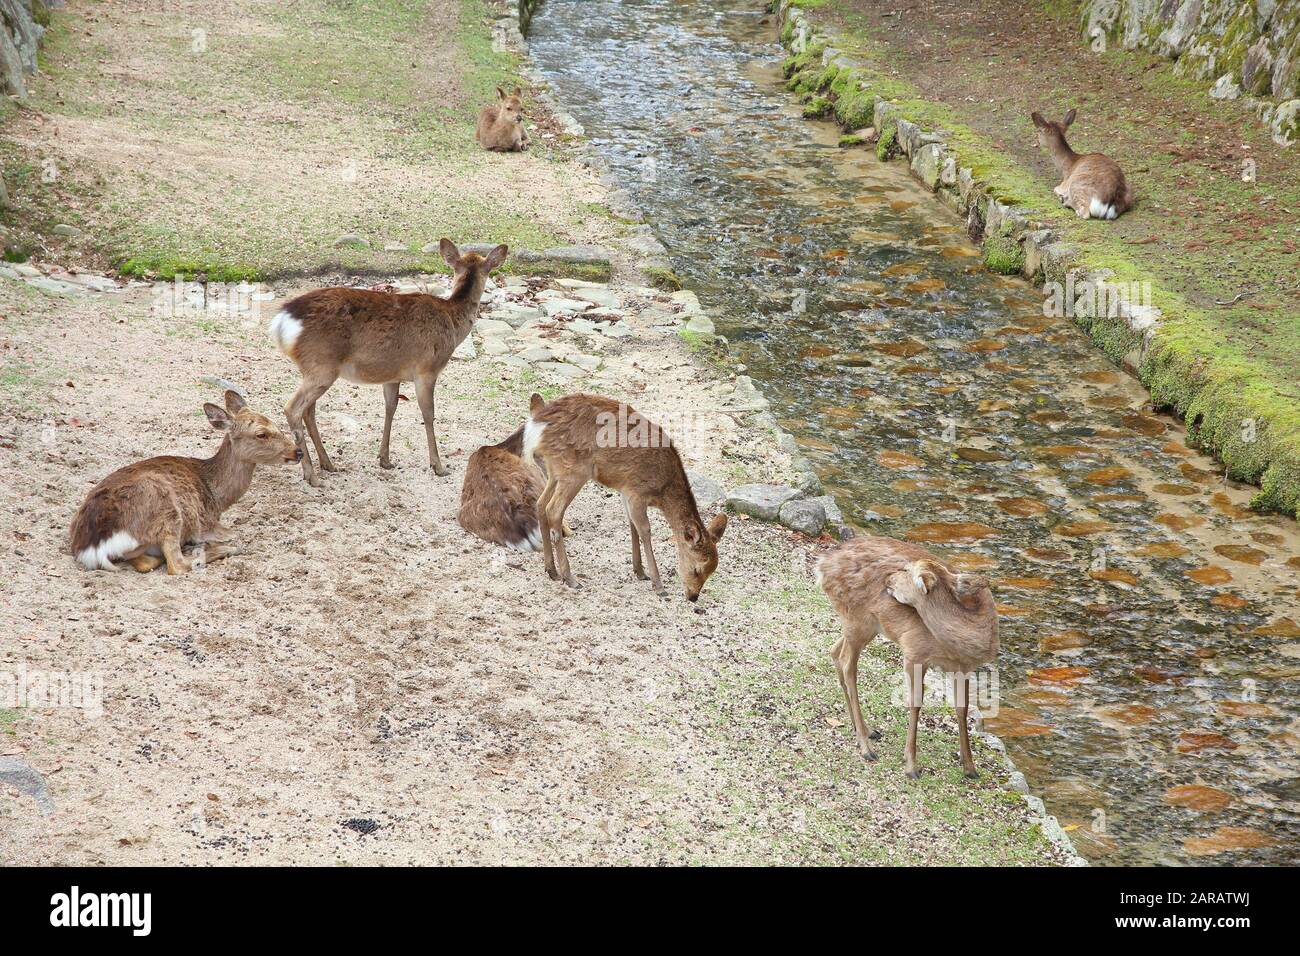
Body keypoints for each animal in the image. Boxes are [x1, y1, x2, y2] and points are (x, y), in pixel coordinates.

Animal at [70, 390, 299, 574]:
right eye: (261, 434)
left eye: (276, 423)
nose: (298, 451)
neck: (217, 497)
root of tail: (94, 546)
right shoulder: (208, 524)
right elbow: (233, 534)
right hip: (167, 510)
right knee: (176, 565)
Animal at [271, 239, 504, 486]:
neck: (452, 322)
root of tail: (282, 321)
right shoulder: (427, 369)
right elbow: (428, 414)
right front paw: (438, 466)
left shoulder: (392, 375)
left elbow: (390, 407)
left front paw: (385, 459)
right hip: (322, 366)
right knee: (293, 408)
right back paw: (311, 475)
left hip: (312, 369)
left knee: (309, 411)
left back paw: (328, 464)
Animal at [520, 392, 728, 600]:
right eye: (697, 569)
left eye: (712, 571)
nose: (693, 597)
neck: (662, 490)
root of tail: (536, 424)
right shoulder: (637, 491)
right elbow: (644, 530)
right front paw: (658, 585)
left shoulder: (625, 491)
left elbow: (632, 525)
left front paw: (640, 572)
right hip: (574, 471)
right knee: (553, 510)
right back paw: (570, 578)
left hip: (555, 469)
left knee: (540, 504)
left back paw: (552, 570)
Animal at [816, 535, 998, 780]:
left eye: (907, 572)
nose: (888, 580)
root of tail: (822, 566)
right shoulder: (914, 650)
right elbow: (915, 702)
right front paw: (911, 765)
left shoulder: (964, 668)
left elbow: (963, 707)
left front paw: (969, 766)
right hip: (856, 620)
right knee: (847, 665)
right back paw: (866, 747)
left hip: (865, 627)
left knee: (834, 651)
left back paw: (865, 729)